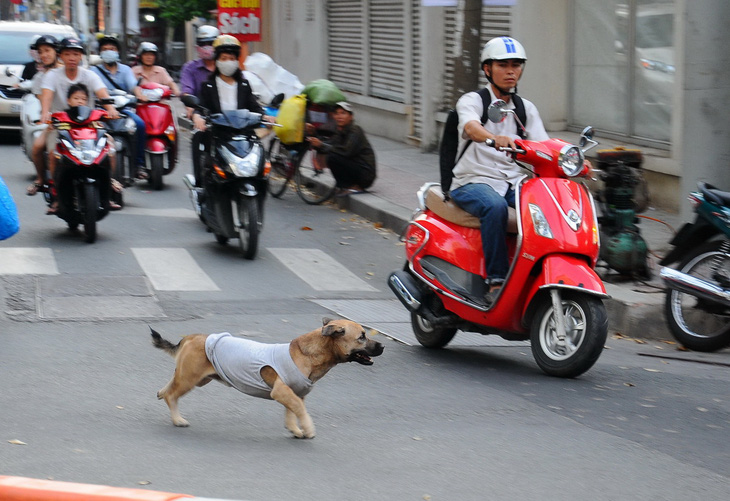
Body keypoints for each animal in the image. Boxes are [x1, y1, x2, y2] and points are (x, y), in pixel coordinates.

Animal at [151, 318, 384, 436]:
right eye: (362, 337)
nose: (382, 346)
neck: (309, 353)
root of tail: (190, 337)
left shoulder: (294, 393)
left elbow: (293, 410)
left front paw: (295, 429)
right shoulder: (281, 391)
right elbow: (299, 409)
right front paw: (308, 429)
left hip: (191, 376)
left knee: (169, 388)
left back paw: (161, 393)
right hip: (190, 378)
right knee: (172, 395)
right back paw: (177, 419)